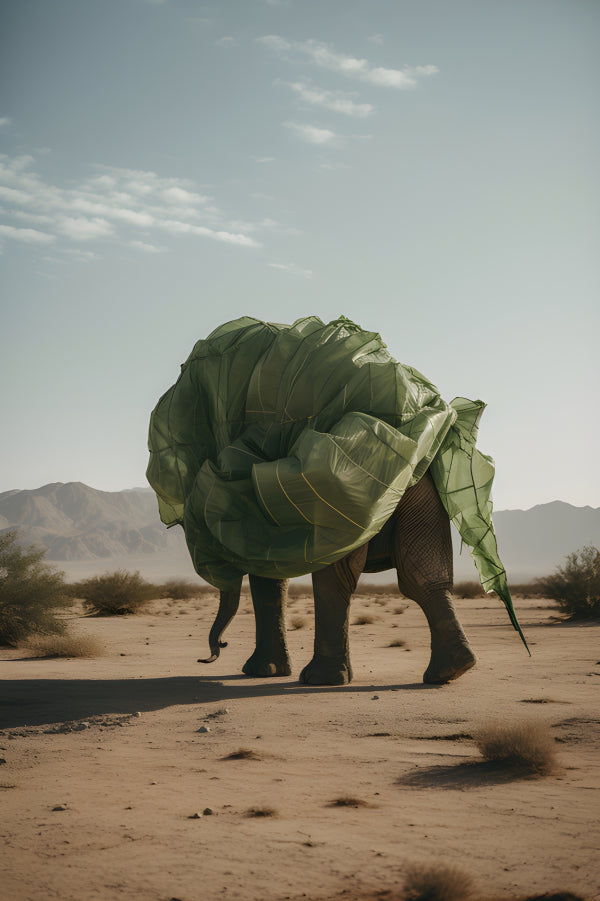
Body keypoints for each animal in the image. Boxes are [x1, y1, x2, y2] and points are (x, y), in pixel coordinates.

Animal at [199, 470, 476, 686]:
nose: (217, 650)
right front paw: (265, 673)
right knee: (421, 577)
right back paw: (452, 670)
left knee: (338, 572)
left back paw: (318, 680)